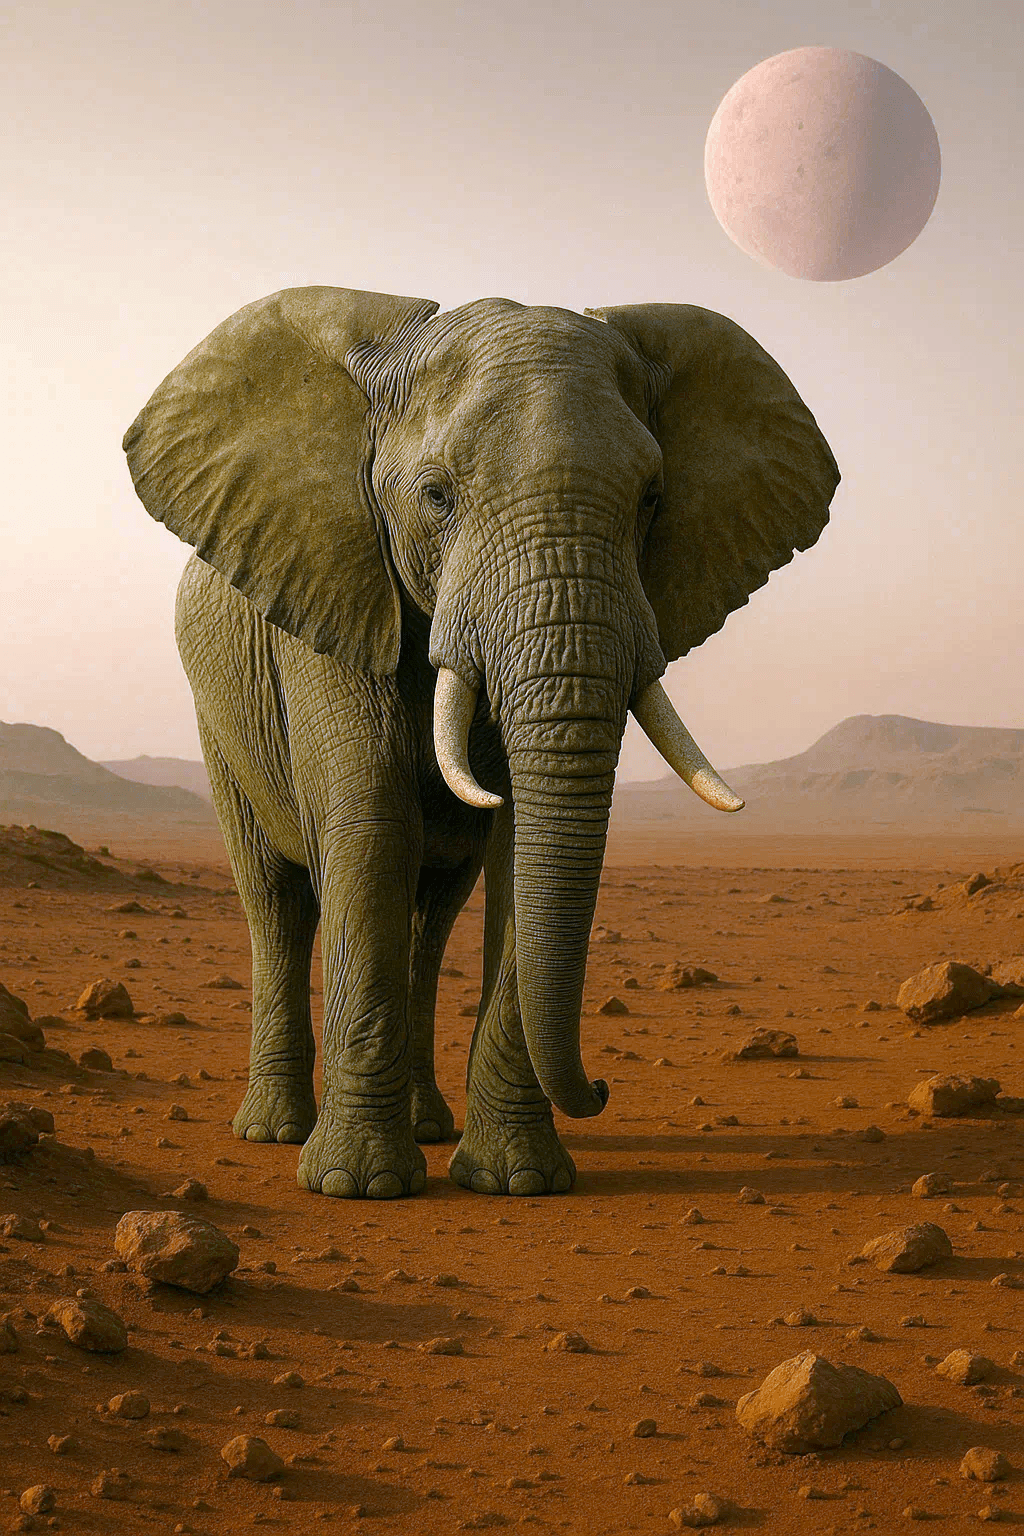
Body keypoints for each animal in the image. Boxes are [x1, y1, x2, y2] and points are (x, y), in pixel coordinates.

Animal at [123, 286, 839, 1199]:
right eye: (436, 497)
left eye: (651, 498)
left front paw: (516, 1182)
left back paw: (428, 1126)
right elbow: (372, 822)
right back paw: (274, 1132)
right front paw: (357, 1187)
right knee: (275, 902)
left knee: (432, 916)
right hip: (219, 726)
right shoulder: (330, 583)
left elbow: (516, 845)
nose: (603, 1087)